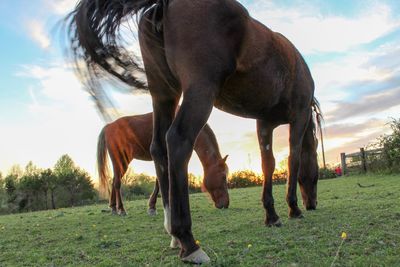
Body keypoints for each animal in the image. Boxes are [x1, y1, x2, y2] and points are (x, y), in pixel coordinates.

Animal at [97, 112, 230, 217]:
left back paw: (113, 207)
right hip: (121, 160)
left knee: (114, 181)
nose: (226, 204)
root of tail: (109, 126)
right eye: (223, 177)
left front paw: (153, 207)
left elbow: (158, 182)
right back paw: (121, 209)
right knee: (117, 183)